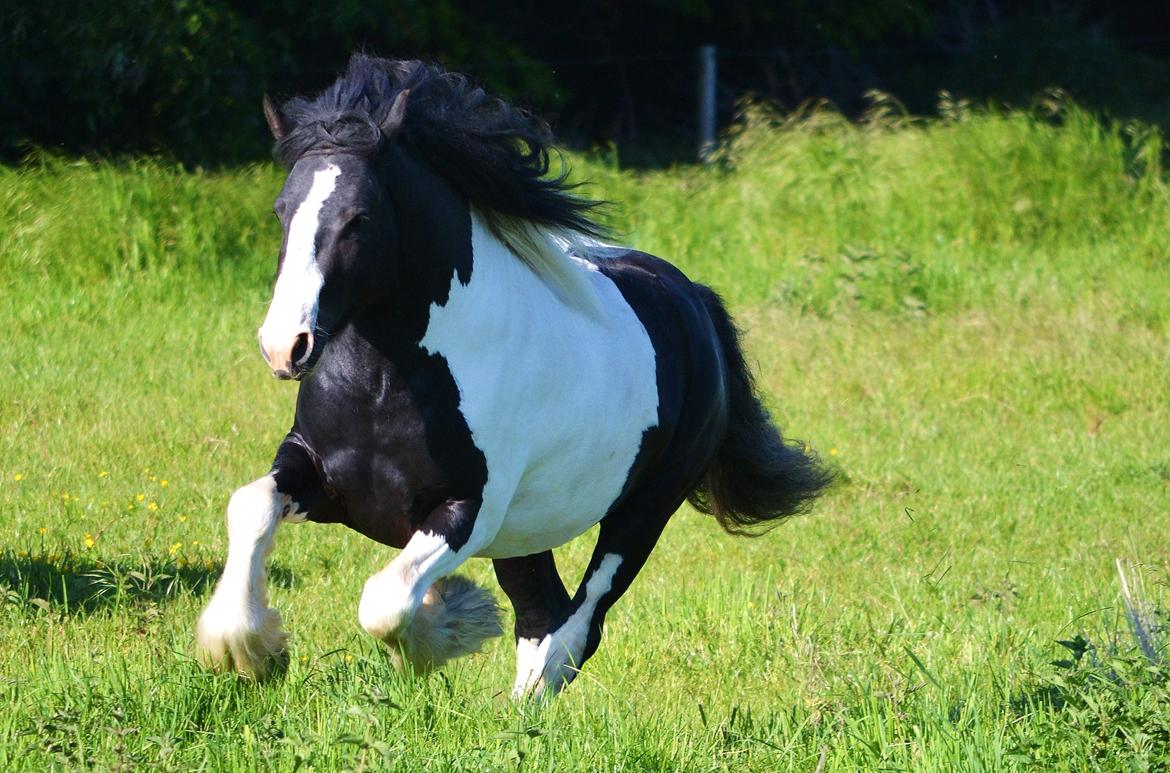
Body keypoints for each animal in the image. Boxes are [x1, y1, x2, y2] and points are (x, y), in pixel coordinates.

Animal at [194, 52, 833, 692]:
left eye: (359, 218)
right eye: (281, 211)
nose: (285, 346)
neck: (386, 386)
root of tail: (694, 302)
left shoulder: (471, 509)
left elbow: (386, 601)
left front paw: (446, 628)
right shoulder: (318, 473)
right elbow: (250, 506)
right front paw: (246, 649)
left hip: (643, 510)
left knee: (577, 626)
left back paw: (528, 685)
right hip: (526, 532)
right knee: (541, 611)